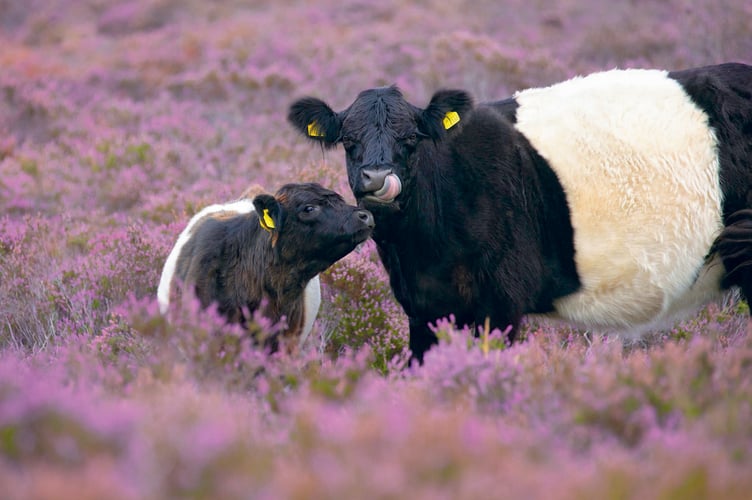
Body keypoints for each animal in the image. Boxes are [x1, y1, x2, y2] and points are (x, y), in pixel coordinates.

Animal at [288, 62, 752, 364]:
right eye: (349, 142)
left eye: (411, 139)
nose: (377, 178)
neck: (420, 252)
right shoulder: (424, 309)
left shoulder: (500, 302)